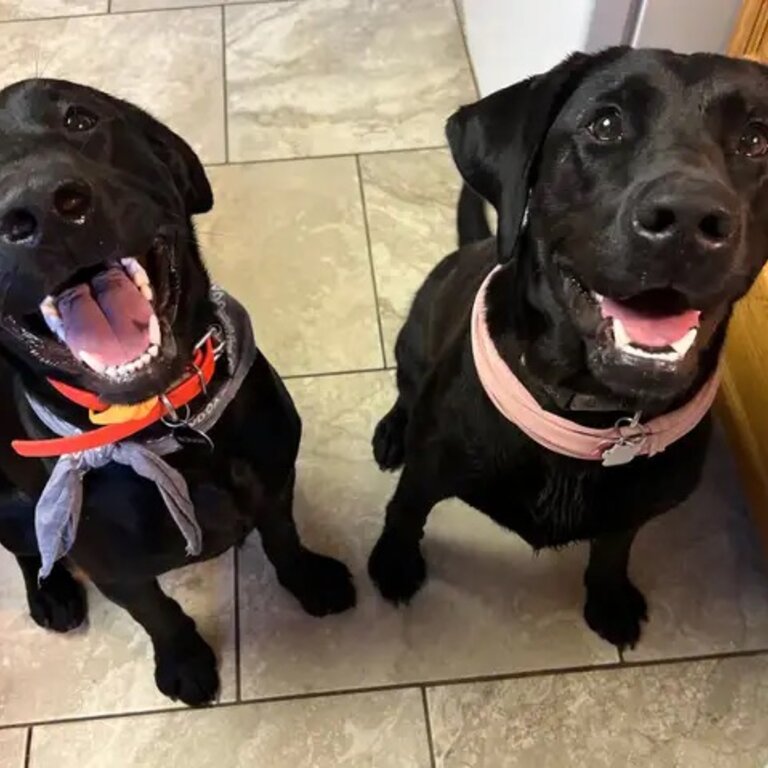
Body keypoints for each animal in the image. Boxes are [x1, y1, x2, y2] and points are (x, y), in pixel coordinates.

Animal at [0, 79, 356, 708]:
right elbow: (157, 613)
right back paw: (50, 592)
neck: (166, 421)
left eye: (80, 118)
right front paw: (184, 662)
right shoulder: (115, 568)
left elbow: (283, 539)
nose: (42, 207)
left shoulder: (276, 481)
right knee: (27, 547)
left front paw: (309, 578)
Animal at [368, 46, 768, 648]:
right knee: (405, 389)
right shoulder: (429, 467)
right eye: (605, 124)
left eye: (757, 138)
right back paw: (393, 429)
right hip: (413, 342)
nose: (687, 219)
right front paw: (393, 564)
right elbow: (405, 512)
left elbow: (613, 548)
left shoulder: (634, 508)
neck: (593, 414)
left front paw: (608, 601)